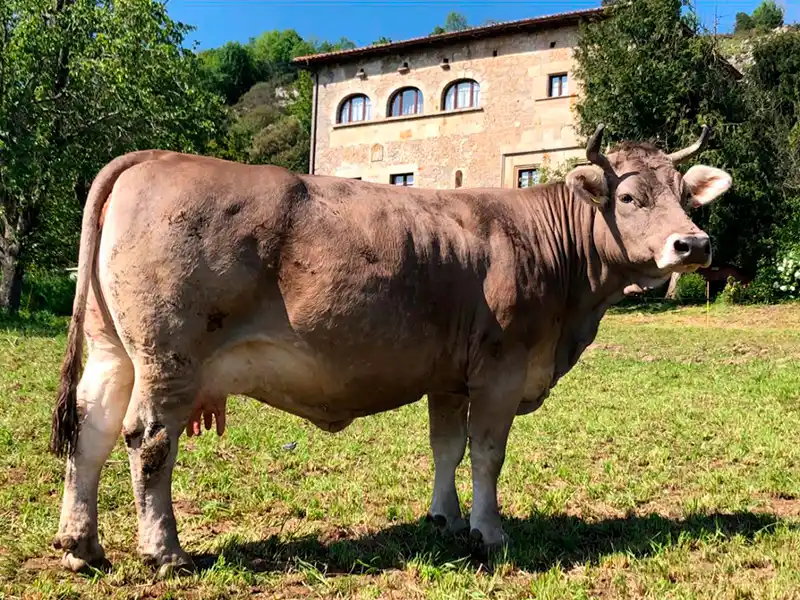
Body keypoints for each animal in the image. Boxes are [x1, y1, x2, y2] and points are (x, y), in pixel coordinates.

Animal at [49, 124, 732, 576]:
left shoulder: (450, 376)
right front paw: (489, 531)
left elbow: (446, 448)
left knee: (91, 429)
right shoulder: (501, 369)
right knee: (147, 439)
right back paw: (164, 551)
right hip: (169, 356)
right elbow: (486, 455)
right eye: (629, 198)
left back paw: (81, 546)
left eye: (685, 196)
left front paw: (444, 519)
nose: (694, 244)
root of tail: (153, 158)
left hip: (115, 351)